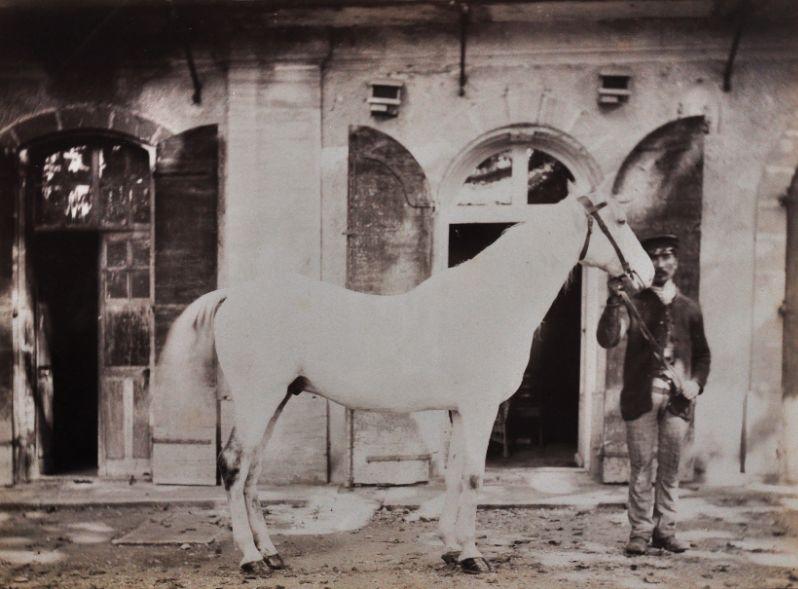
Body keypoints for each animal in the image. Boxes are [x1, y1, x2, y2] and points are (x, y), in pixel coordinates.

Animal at [154, 182, 654, 576]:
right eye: (621, 220)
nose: (647, 275)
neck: (493, 300)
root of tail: (234, 294)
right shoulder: (480, 407)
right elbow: (474, 477)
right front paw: (473, 556)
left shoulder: (460, 410)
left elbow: (455, 473)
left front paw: (452, 549)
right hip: (259, 399)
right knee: (234, 465)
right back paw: (251, 559)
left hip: (276, 400)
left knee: (252, 470)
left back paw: (272, 553)